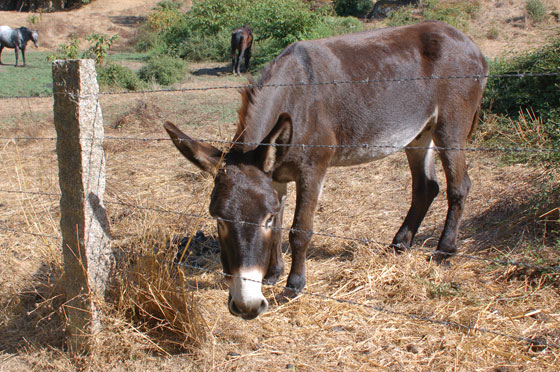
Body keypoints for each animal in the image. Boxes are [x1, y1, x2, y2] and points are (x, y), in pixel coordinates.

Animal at [164, 21, 488, 320]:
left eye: (263, 219)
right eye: (219, 220)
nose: (246, 307)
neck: (293, 96)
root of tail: (468, 42)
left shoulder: (313, 170)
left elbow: (299, 230)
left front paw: (293, 286)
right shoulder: (276, 176)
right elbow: (282, 226)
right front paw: (273, 274)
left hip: (451, 126)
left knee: (459, 186)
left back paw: (444, 251)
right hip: (420, 133)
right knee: (426, 187)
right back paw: (398, 245)